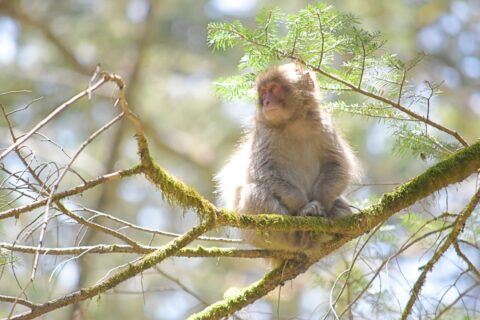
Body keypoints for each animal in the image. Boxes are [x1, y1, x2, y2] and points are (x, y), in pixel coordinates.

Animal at [215, 63, 360, 251]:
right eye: (263, 93)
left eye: (273, 89)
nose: (266, 102)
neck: (294, 123)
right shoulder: (265, 134)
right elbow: (265, 172)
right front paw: (305, 208)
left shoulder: (325, 126)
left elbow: (337, 164)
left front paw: (320, 205)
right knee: (253, 194)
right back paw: (296, 230)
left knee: (344, 209)